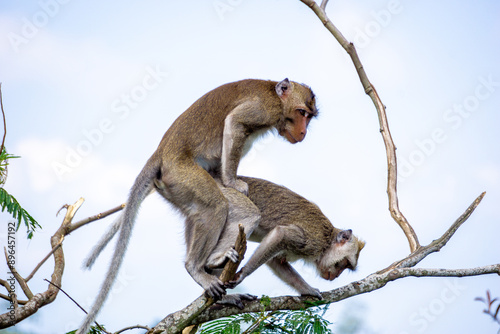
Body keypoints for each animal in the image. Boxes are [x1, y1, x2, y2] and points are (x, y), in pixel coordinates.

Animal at [77, 77, 316, 334]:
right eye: (301, 113)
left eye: (309, 116)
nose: (303, 131)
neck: (274, 93)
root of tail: (160, 153)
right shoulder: (265, 109)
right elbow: (235, 122)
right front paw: (232, 182)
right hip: (180, 173)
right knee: (216, 207)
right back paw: (196, 268)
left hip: (174, 186)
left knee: (198, 214)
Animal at [209, 177, 366, 300]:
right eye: (343, 264)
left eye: (346, 267)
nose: (337, 276)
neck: (327, 242)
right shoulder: (313, 241)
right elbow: (281, 234)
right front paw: (242, 274)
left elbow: (276, 260)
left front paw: (308, 290)